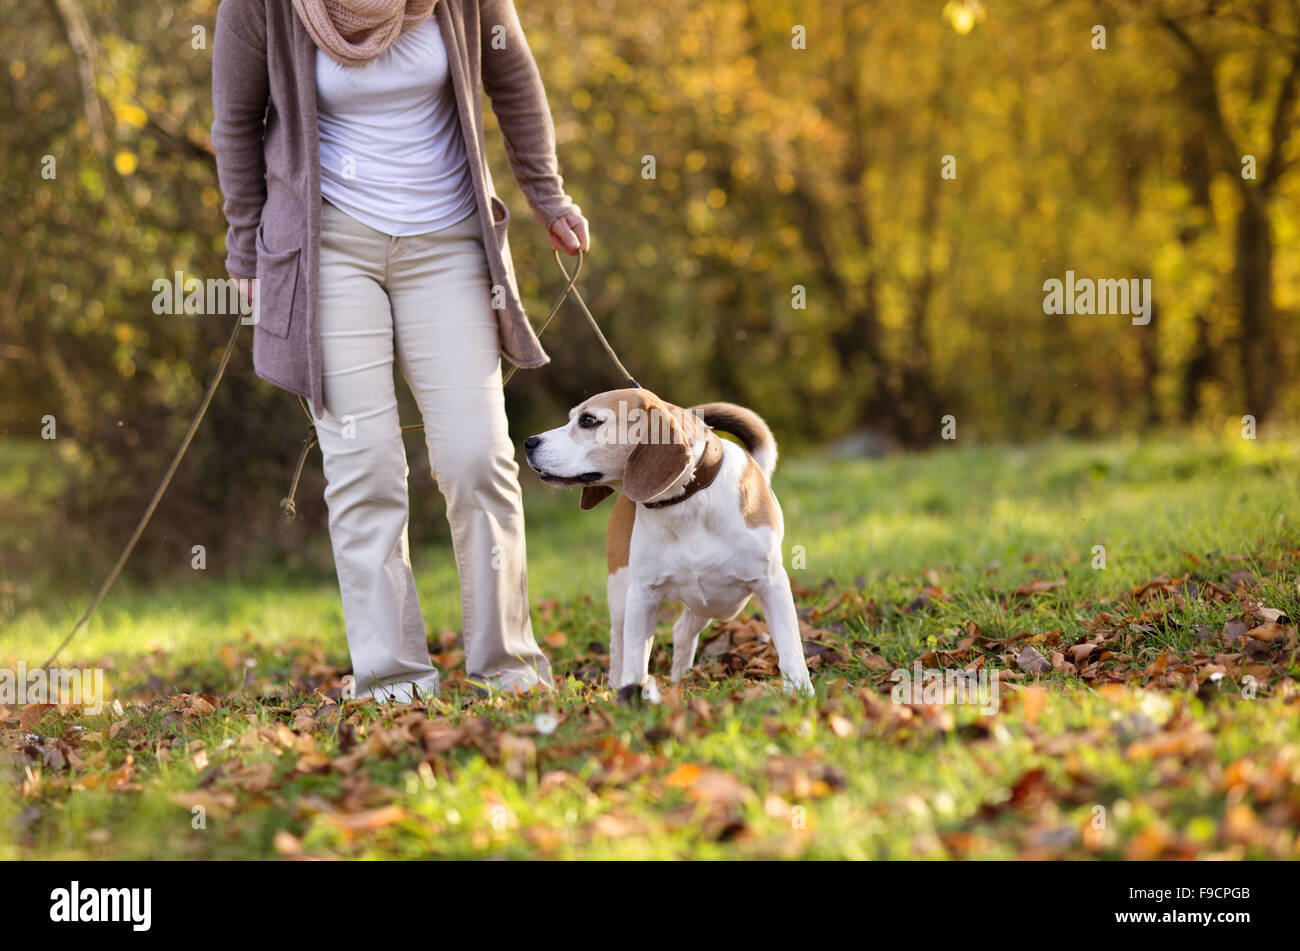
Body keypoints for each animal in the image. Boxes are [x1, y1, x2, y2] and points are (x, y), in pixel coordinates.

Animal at [520, 387, 811, 696]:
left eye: (588, 420)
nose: (528, 442)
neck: (686, 501)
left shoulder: (772, 585)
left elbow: (790, 648)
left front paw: (800, 693)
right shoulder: (642, 596)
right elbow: (635, 659)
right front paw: (631, 695)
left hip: (717, 603)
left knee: (681, 631)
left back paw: (680, 680)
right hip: (623, 594)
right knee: (620, 645)